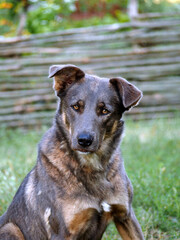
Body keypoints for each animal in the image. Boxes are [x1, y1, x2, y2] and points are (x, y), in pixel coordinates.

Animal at [0, 64, 144, 240]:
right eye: (75, 106)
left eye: (105, 111)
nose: (84, 140)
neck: (91, 166)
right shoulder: (63, 232)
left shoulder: (126, 216)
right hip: (10, 228)